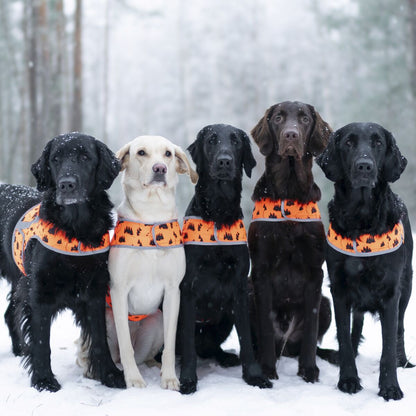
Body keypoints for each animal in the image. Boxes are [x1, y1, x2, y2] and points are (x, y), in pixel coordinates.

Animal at [0, 132, 125, 390]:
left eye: (85, 157)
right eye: (55, 159)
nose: (67, 184)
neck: (74, 230)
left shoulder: (94, 291)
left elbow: (100, 338)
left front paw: (109, 374)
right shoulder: (39, 293)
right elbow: (41, 342)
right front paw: (44, 379)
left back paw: (20, 350)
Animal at [177, 122, 272, 394]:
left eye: (235, 141)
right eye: (211, 140)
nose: (224, 161)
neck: (218, 212)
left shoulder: (240, 287)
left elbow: (247, 341)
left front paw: (254, 376)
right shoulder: (188, 287)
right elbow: (188, 344)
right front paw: (188, 379)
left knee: (210, 347)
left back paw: (226, 357)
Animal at [249, 101, 334, 384]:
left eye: (305, 119)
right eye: (278, 118)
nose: (291, 135)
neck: (289, 190)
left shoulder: (315, 272)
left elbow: (310, 329)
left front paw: (309, 370)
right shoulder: (261, 272)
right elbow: (265, 327)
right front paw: (266, 370)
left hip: (327, 303)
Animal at [318, 122, 412, 402]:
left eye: (378, 143)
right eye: (348, 143)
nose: (364, 166)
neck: (361, 218)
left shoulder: (391, 293)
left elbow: (388, 347)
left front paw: (390, 387)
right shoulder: (339, 289)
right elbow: (345, 338)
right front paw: (348, 380)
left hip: (407, 288)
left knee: (400, 330)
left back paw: (404, 361)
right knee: (354, 327)